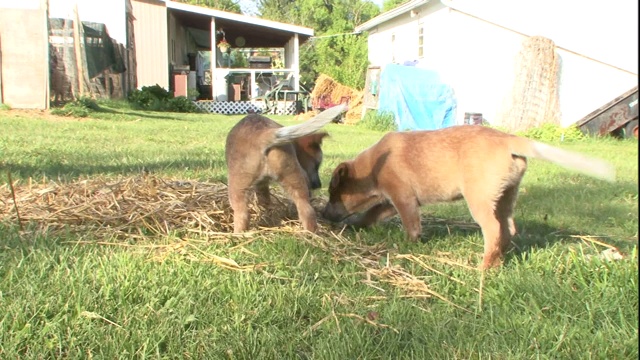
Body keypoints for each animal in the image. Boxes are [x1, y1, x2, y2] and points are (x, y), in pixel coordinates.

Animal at [225, 104, 344, 233]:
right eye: (317, 164)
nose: (318, 185)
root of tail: (264, 135)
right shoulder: (263, 184)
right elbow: (265, 201)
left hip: (237, 187)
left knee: (242, 214)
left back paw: (237, 234)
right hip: (294, 179)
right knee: (307, 211)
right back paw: (311, 234)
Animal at [322, 125, 616, 268]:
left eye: (333, 194)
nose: (324, 215)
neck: (374, 166)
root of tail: (510, 139)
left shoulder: (403, 198)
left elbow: (410, 225)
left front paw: (407, 244)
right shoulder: (393, 201)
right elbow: (371, 214)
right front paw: (357, 224)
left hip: (479, 199)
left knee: (494, 229)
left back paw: (484, 267)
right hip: (506, 196)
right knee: (508, 229)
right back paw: (498, 262)